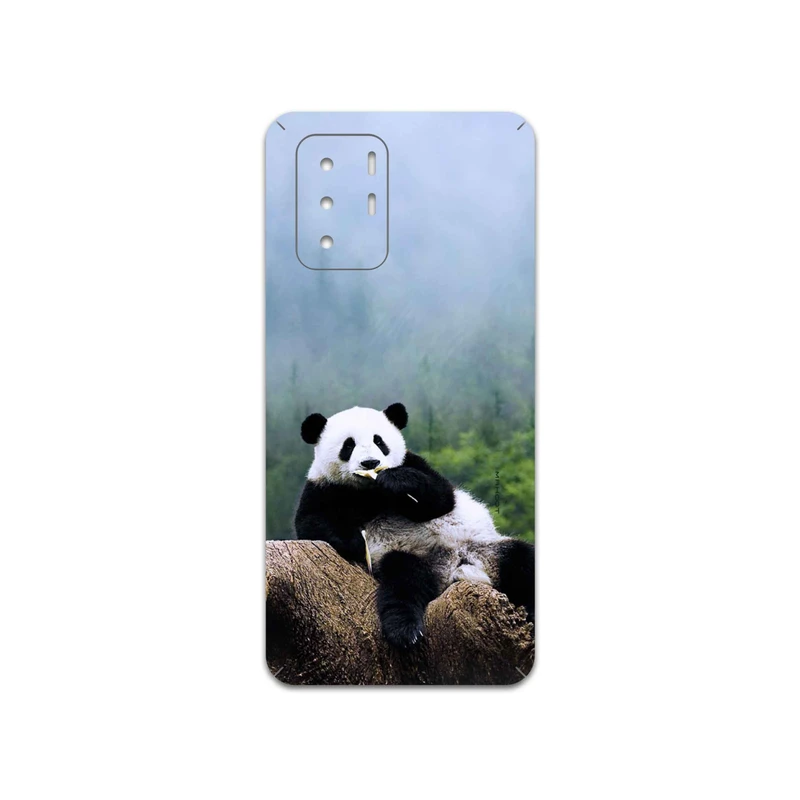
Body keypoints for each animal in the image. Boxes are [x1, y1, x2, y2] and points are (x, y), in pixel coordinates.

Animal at [294, 402, 535, 649]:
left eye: (379, 441)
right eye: (348, 445)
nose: (370, 463)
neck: (369, 491)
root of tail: (455, 567)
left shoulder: (414, 463)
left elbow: (441, 498)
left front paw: (396, 481)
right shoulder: (323, 488)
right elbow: (311, 523)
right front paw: (356, 543)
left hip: (486, 548)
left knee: (522, 561)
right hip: (412, 557)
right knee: (404, 583)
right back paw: (405, 631)